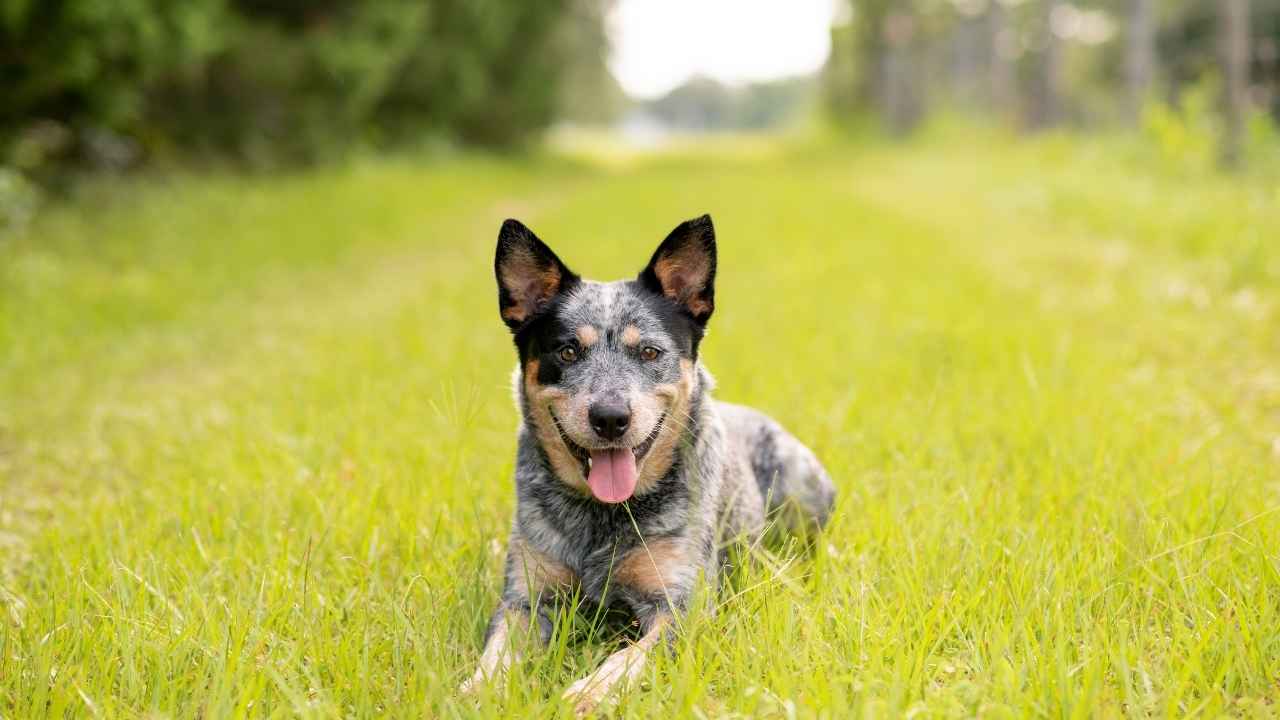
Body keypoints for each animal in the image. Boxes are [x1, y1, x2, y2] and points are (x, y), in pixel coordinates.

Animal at [465, 213, 834, 712]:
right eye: (567, 351)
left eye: (649, 351)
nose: (609, 417)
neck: (600, 519)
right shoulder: (526, 598)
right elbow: (497, 654)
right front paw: (474, 692)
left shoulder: (681, 605)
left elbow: (629, 657)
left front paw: (590, 692)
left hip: (800, 488)